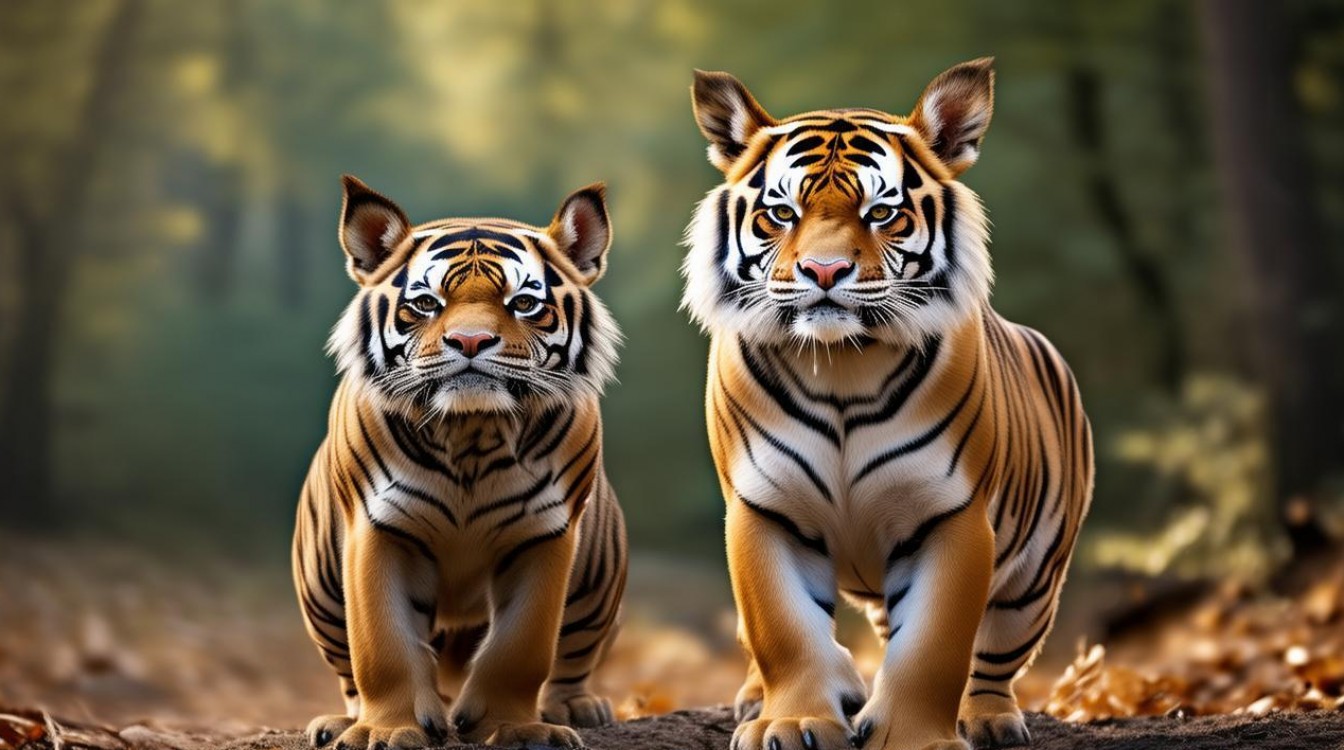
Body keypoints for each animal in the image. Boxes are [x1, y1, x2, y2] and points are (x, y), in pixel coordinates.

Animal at [293, 175, 627, 750]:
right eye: (426, 303)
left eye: (523, 303)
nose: (470, 340)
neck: (472, 430)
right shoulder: (378, 529)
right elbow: (381, 645)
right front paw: (386, 731)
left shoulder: (544, 535)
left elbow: (522, 646)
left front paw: (517, 729)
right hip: (320, 585)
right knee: (347, 666)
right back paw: (340, 722)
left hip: (596, 583)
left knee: (573, 656)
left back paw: (576, 708)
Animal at [681, 58, 1093, 750]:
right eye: (781, 213)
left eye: (881, 212)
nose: (824, 272)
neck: (842, 365)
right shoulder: (763, 511)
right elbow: (783, 629)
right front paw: (793, 721)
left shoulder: (951, 515)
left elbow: (934, 645)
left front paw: (912, 736)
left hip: (1034, 581)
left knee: (995, 655)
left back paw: (990, 719)